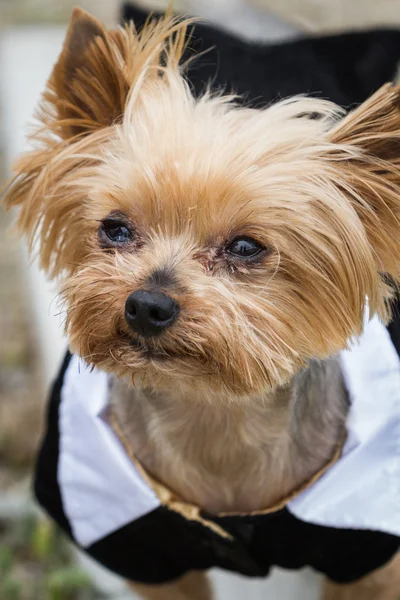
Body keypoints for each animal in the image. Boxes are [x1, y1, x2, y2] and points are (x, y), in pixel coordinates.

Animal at [3, 9, 400, 600]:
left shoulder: (368, 553)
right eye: (114, 229)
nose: (146, 305)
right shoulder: (146, 553)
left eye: (245, 247)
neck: (213, 414)